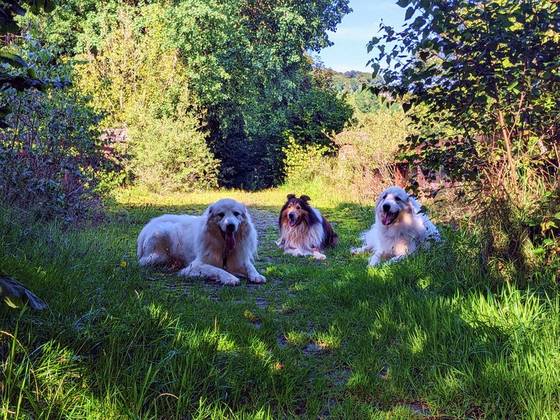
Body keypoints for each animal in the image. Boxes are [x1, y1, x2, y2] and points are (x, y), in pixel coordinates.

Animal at [137, 198, 266, 285]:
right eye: (221, 215)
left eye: (236, 214)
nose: (230, 226)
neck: (223, 246)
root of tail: (148, 225)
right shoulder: (195, 266)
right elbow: (216, 269)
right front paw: (229, 278)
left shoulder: (238, 260)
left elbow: (249, 266)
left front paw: (256, 275)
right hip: (162, 240)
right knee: (144, 261)